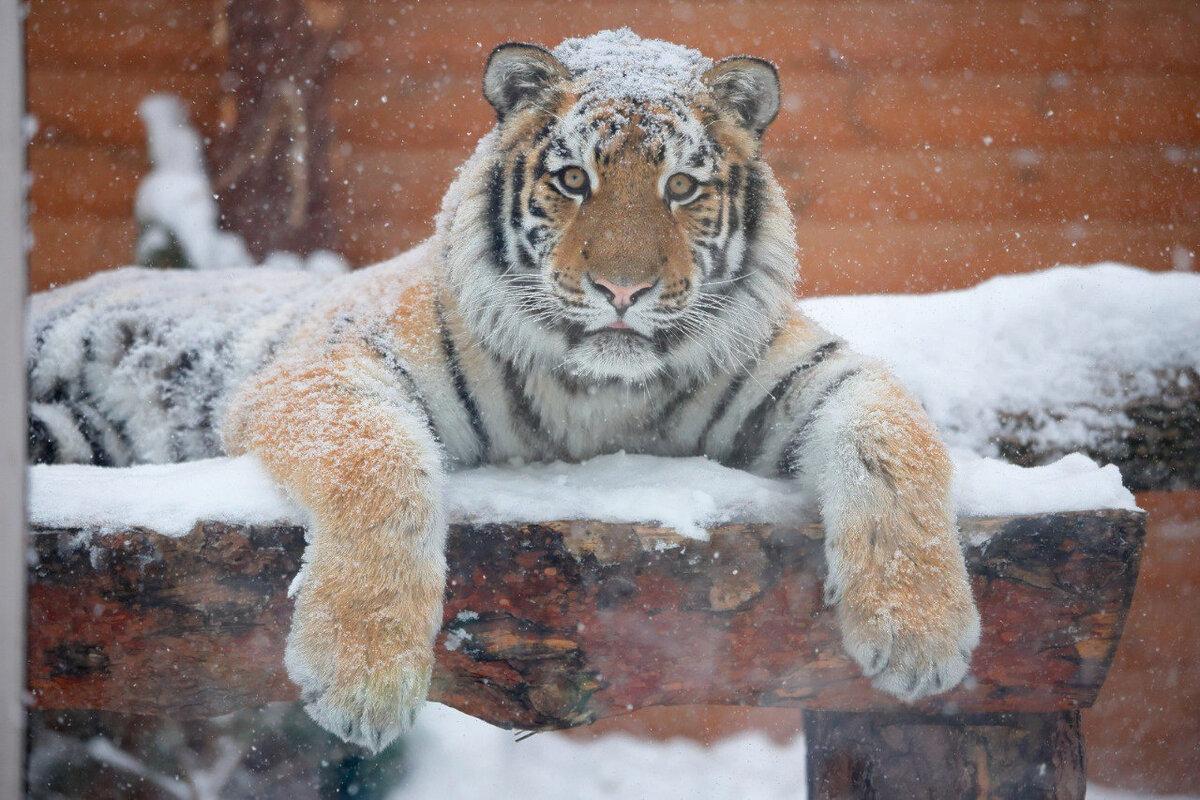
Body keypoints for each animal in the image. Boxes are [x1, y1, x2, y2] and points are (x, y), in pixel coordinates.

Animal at [28, 31, 979, 753]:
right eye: (573, 180)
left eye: (680, 186)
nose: (623, 290)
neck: (599, 394)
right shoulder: (330, 364)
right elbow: (380, 466)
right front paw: (362, 680)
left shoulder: (812, 371)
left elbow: (898, 445)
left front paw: (920, 637)